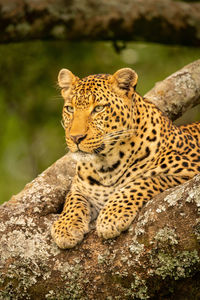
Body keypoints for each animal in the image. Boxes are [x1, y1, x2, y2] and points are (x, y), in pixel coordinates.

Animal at [51, 67, 200, 248]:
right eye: (70, 109)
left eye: (98, 108)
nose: (75, 137)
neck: (106, 165)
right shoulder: (80, 187)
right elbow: (73, 200)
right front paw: (65, 227)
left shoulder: (190, 169)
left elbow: (142, 182)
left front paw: (112, 215)